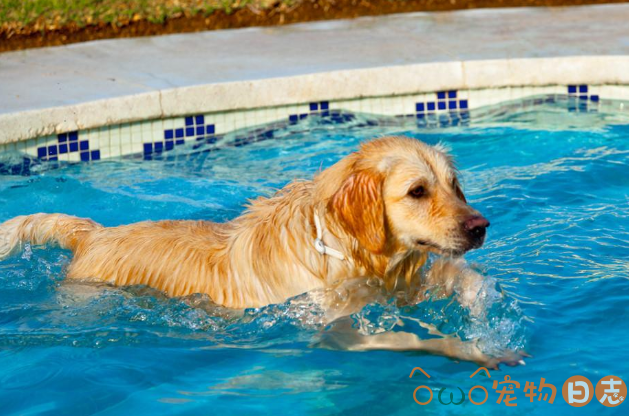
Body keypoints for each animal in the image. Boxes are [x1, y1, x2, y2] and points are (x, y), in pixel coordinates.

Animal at [0, 136, 520, 368]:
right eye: (416, 191)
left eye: (454, 186)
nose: (480, 227)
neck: (343, 248)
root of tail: (92, 232)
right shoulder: (333, 327)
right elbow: (408, 338)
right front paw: (468, 348)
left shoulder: (403, 282)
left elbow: (462, 280)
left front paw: (485, 317)